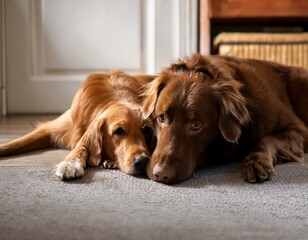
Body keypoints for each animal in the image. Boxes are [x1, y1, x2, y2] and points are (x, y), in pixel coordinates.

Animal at [0, 71, 154, 180]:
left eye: (147, 130)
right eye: (119, 131)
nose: (143, 161)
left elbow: (82, 143)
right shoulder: (49, 128)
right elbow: (15, 143)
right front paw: (70, 163)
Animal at [143, 54, 308, 184]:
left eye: (196, 125)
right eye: (161, 118)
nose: (161, 174)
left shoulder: (298, 129)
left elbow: (266, 139)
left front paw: (256, 162)